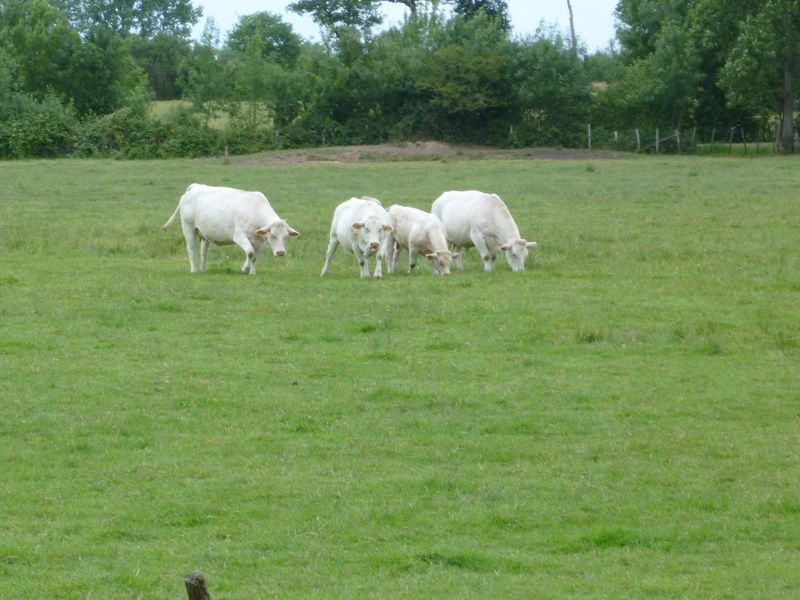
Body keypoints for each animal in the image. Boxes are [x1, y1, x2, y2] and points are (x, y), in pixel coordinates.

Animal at [162, 184, 300, 276]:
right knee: (191, 249)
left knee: (203, 252)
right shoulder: (239, 236)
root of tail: (195, 187)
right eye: (272, 235)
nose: (281, 252)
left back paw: (202, 269)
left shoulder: (259, 240)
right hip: (188, 228)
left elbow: (254, 256)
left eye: (286, 237)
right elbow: (250, 252)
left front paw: (252, 272)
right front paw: (245, 269)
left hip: (205, 234)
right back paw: (194, 270)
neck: (254, 209)